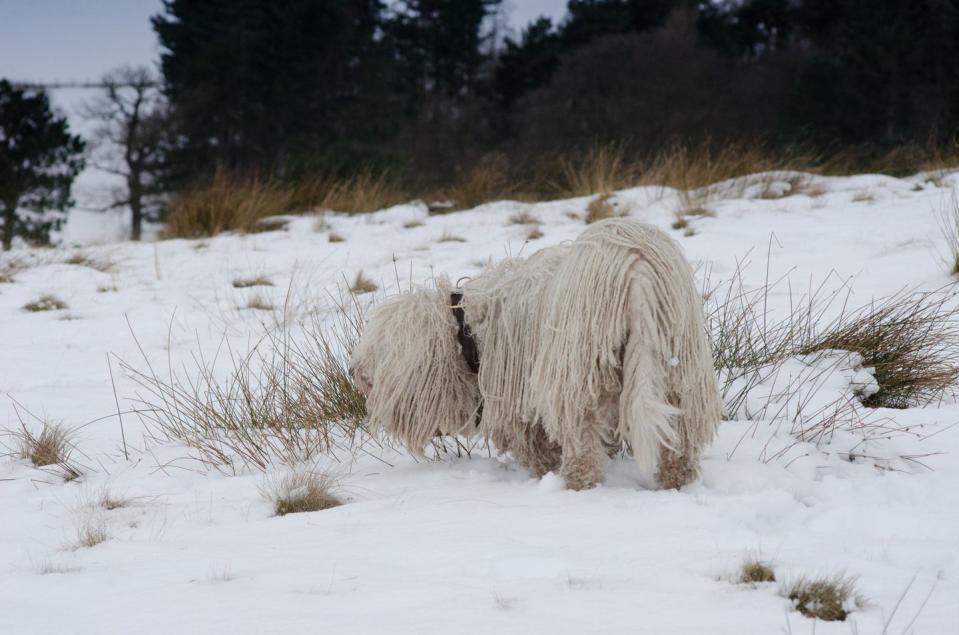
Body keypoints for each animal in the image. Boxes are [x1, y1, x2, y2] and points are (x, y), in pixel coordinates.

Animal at [350, 216, 720, 490]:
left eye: (379, 351)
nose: (356, 374)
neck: (471, 329)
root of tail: (636, 265)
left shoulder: (520, 401)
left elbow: (536, 445)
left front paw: (545, 471)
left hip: (577, 369)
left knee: (581, 439)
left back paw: (579, 484)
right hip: (678, 363)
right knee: (679, 437)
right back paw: (676, 482)